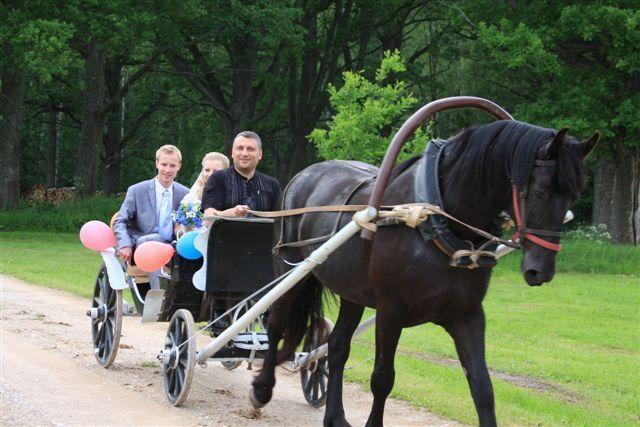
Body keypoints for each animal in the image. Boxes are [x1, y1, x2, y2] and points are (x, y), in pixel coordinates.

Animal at [252, 118, 596, 426]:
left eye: (574, 193)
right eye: (539, 192)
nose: (541, 269)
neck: (437, 220)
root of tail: (303, 175)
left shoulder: (467, 315)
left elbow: (483, 389)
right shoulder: (391, 310)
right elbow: (382, 378)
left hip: (352, 291)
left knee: (336, 348)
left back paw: (334, 416)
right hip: (291, 272)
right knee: (277, 324)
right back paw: (262, 390)